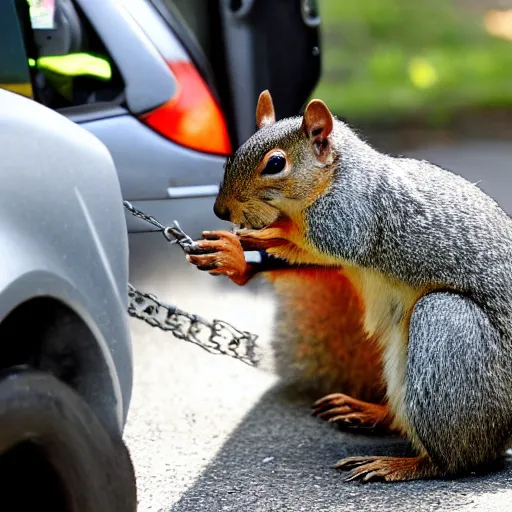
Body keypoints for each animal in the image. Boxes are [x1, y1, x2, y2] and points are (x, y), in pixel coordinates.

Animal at [186, 90, 512, 482]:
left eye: (275, 163)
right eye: (234, 153)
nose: (221, 211)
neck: (335, 174)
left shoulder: (350, 217)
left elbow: (311, 239)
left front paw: (258, 235)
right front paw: (234, 258)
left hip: (449, 331)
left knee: (461, 458)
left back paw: (400, 464)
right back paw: (369, 411)